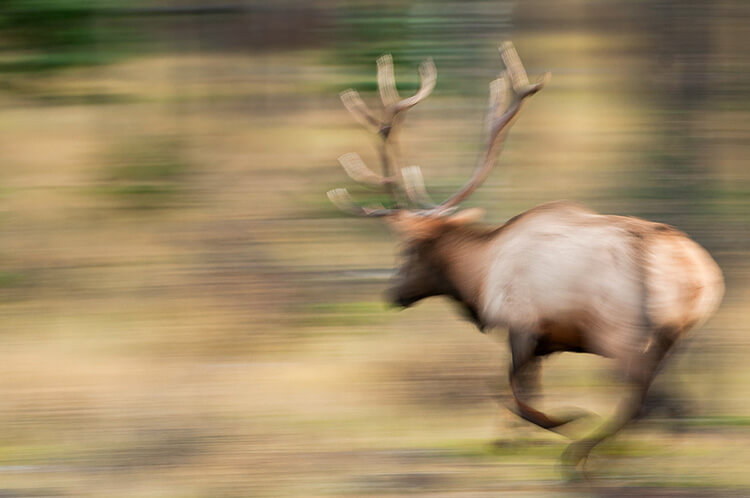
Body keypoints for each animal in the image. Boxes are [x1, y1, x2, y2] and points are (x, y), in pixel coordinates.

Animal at [326, 41, 724, 470]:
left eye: (406, 250)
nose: (391, 294)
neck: (479, 276)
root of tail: (690, 266)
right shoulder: (548, 341)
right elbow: (524, 391)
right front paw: (511, 439)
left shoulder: (522, 324)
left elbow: (514, 391)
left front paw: (562, 421)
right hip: (678, 331)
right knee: (669, 397)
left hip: (619, 328)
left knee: (640, 396)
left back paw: (580, 452)